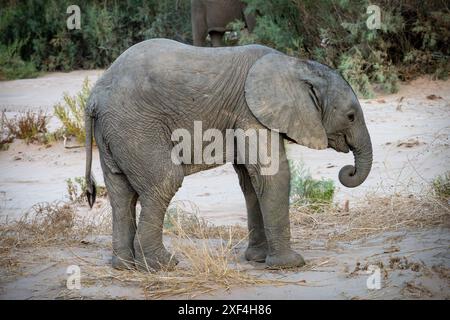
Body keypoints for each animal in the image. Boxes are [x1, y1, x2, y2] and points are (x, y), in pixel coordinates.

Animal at [84, 38, 372, 272]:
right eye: (350, 116)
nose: (347, 171)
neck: (295, 65)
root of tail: (94, 97)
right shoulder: (250, 113)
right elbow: (272, 176)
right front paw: (290, 264)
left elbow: (251, 182)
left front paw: (257, 259)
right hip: (135, 127)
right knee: (164, 181)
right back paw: (162, 265)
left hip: (114, 133)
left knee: (121, 194)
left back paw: (124, 266)